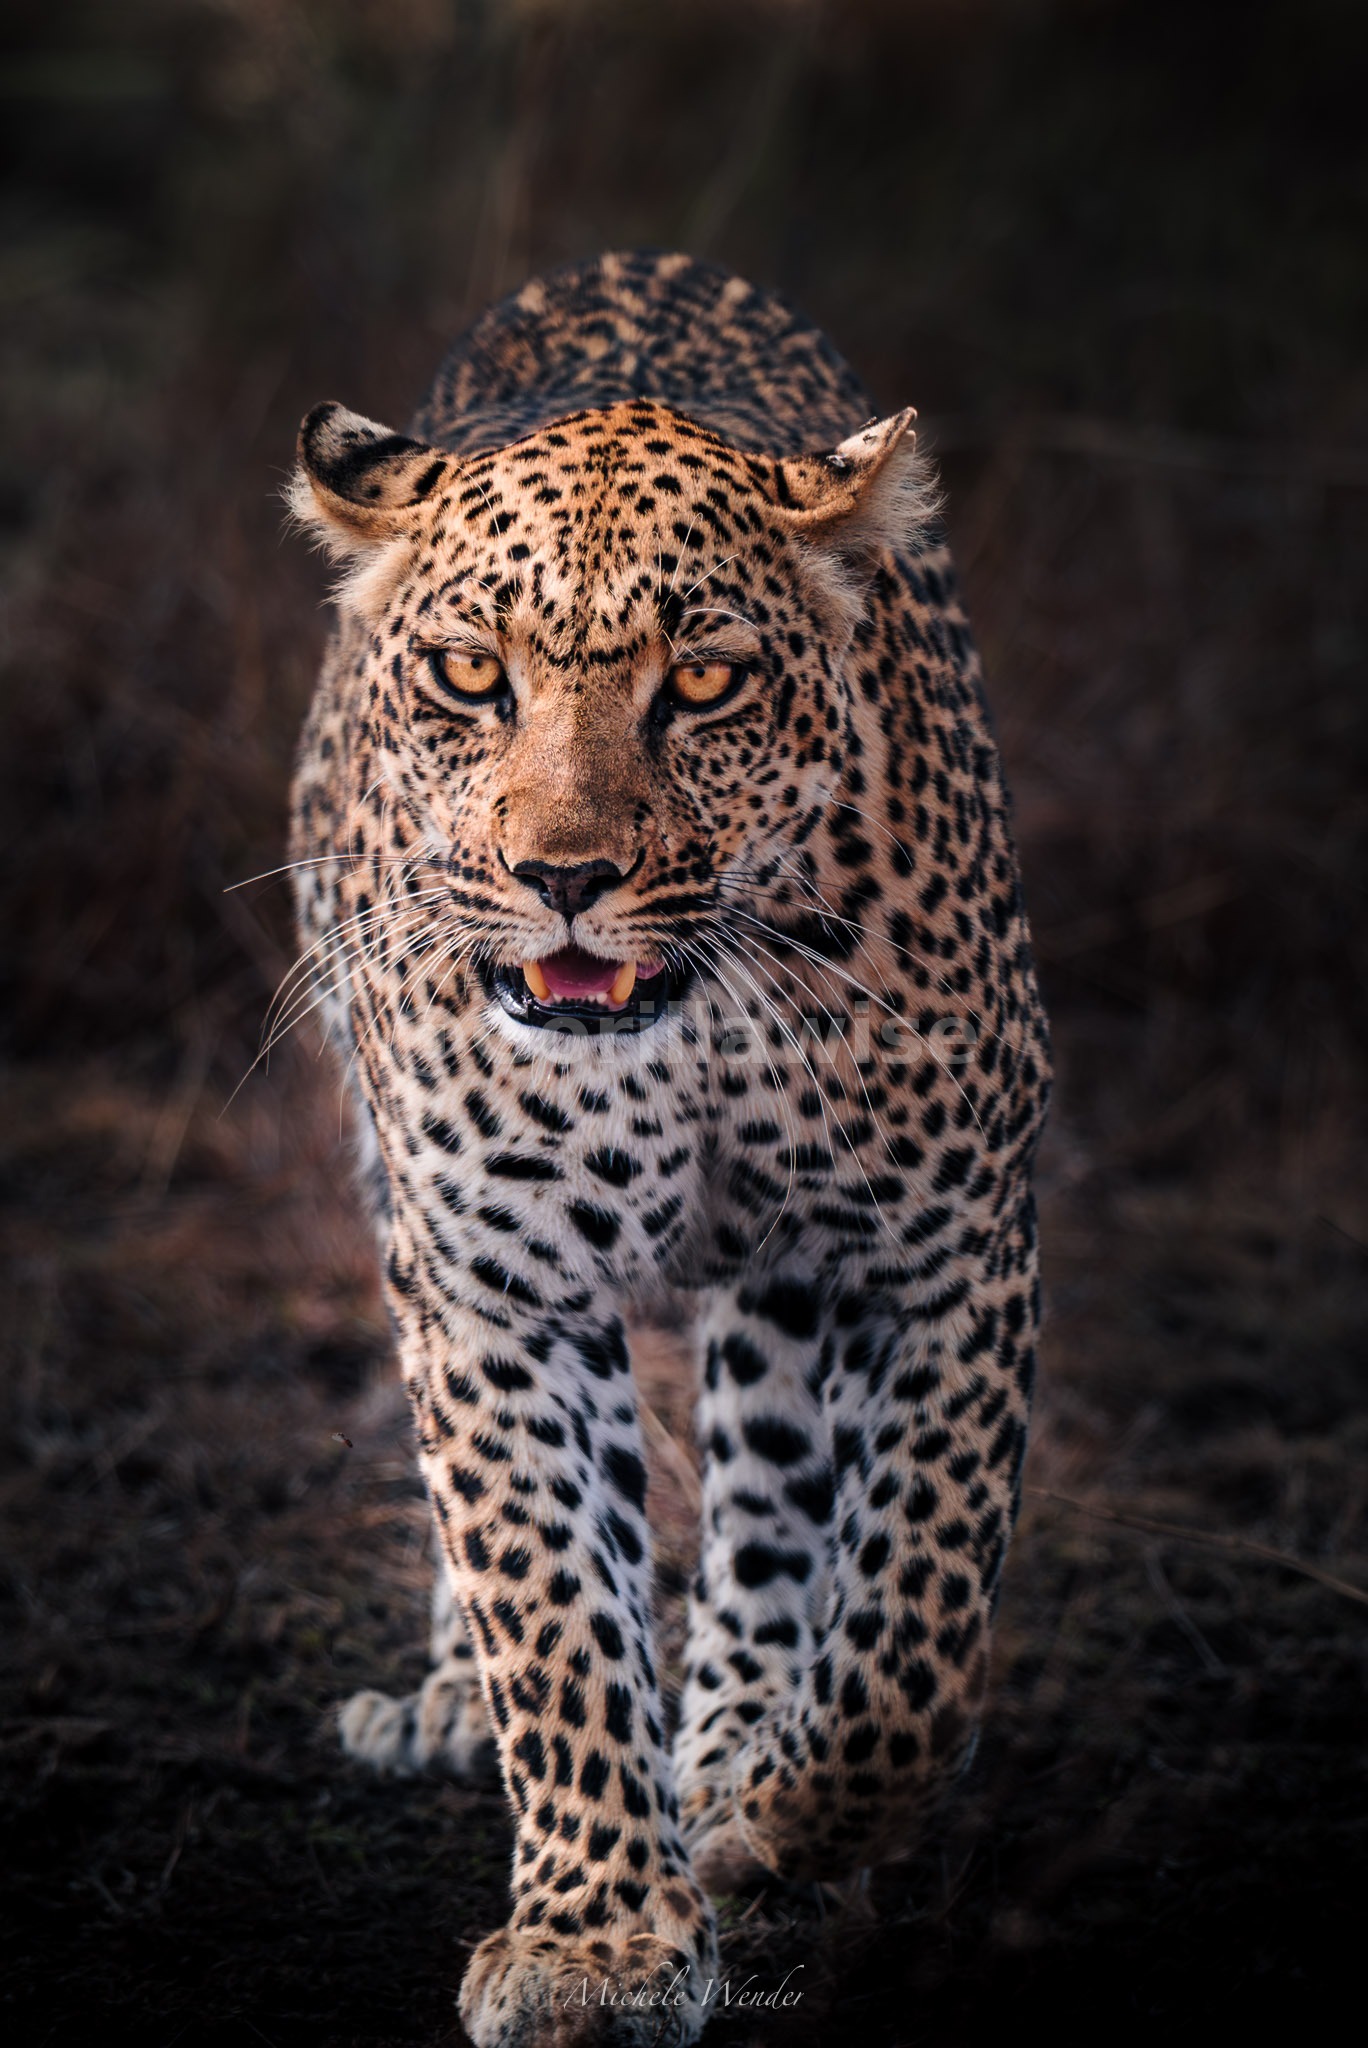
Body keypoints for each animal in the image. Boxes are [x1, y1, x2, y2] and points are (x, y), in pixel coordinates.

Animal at [285, 249, 1050, 2046]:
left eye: (700, 682)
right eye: (468, 675)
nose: (562, 875)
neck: (684, 1024)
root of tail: (630, 262)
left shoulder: (950, 1245)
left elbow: (912, 1620)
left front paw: (778, 1820)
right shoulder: (491, 1285)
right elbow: (550, 1604)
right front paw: (595, 1942)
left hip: (782, 1283)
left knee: (774, 1515)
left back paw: (736, 1755)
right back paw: (452, 1704)